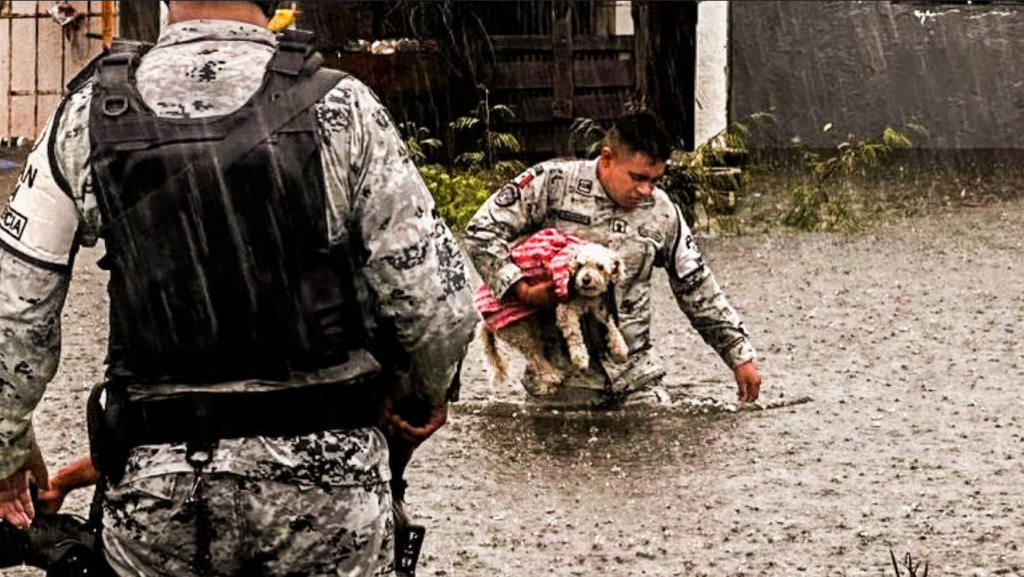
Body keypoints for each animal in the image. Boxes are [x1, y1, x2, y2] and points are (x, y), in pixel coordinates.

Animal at [479, 240, 630, 397]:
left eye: (600, 267)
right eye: (580, 265)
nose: (585, 280)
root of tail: (485, 323)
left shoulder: (597, 305)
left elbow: (610, 322)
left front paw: (619, 345)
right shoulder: (565, 309)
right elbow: (574, 334)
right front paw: (580, 357)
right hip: (519, 330)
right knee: (534, 356)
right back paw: (551, 375)